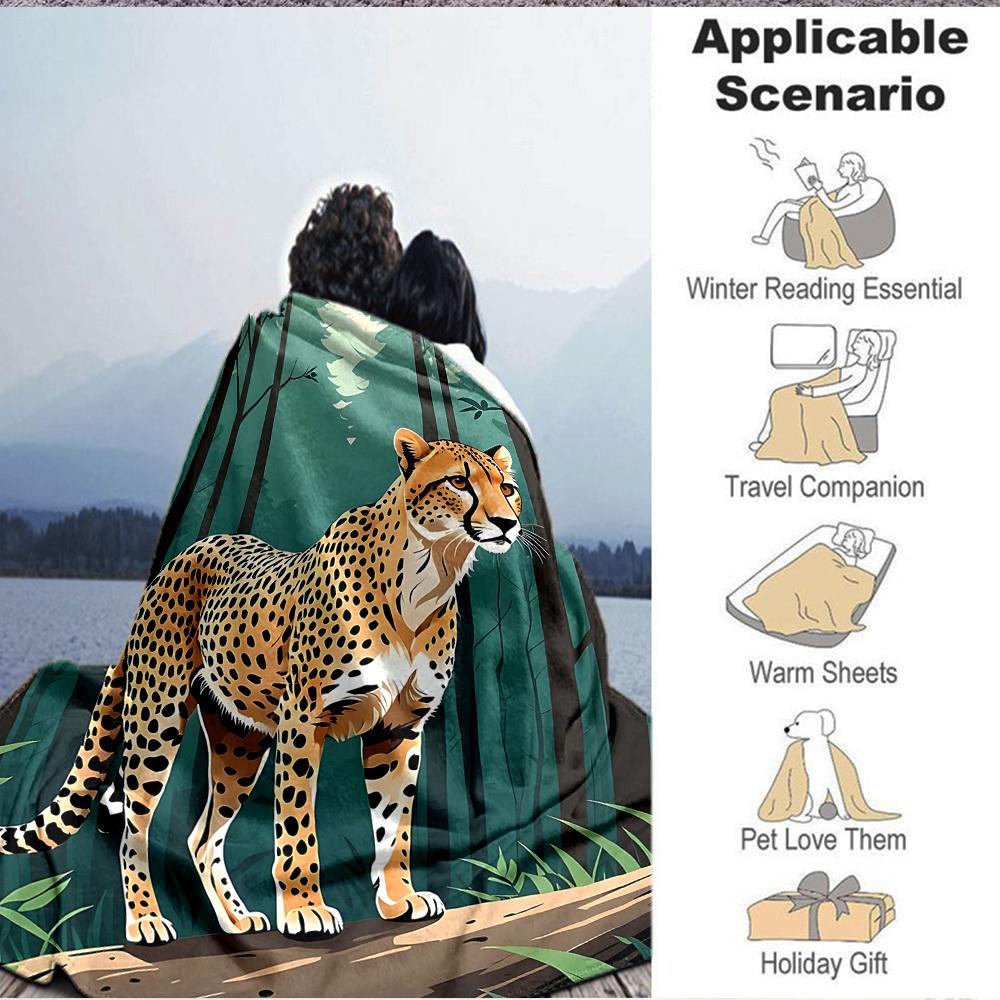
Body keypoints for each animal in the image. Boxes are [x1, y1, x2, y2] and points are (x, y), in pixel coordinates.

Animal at [0, 428, 521, 945]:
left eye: (509, 488)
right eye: (459, 482)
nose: (507, 522)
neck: (427, 574)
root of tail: (177, 559)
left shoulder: (397, 728)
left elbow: (395, 826)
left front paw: (398, 899)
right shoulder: (303, 720)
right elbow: (296, 823)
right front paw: (306, 909)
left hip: (240, 743)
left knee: (202, 835)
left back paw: (236, 920)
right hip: (156, 719)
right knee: (133, 828)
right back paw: (146, 919)